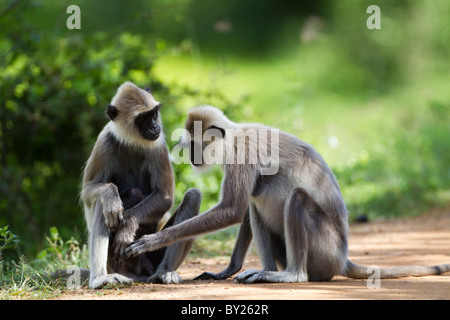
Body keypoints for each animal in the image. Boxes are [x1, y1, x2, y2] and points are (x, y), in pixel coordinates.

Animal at [81, 81, 200, 288]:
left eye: (154, 114)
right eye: (143, 118)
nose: (154, 126)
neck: (132, 142)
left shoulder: (158, 144)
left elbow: (165, 196)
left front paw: (127, 226)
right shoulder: (104, 142)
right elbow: (88, 191)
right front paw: (111, 195)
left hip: (150, 253)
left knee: (193, 196)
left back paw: (163, 272)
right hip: (114, 262)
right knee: (105, 204)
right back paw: (99, 279)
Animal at [125, 106, 450, 284]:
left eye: (193, 145)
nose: (189, 155)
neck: (235, 135)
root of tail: (342, 257)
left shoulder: (242, 153)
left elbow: (232, 209)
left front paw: (153, 240)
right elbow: (242, 210)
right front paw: (227, 271)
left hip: (323, 249)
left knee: (296, 199)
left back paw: (290, 275)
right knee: (256, 205)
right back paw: (265, 271)